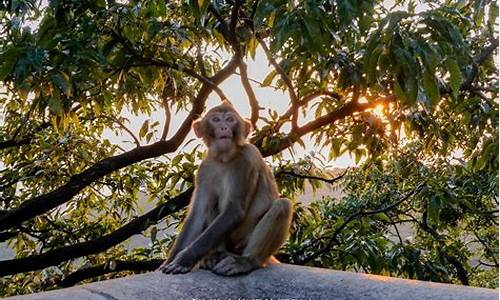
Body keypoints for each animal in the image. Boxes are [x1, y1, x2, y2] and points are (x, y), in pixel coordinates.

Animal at [158, 101, 292, 276]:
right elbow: (198, 214)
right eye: (216, 120)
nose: (223, 127)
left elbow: (234, 210)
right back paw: (215, 256)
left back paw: (246, 261)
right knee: (212, 207)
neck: (223, 159)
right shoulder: (204, 170)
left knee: (283, 205)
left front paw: (184, 259)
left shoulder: (246, 159)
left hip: (243, 243)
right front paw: (169, 261)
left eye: (230, 120)